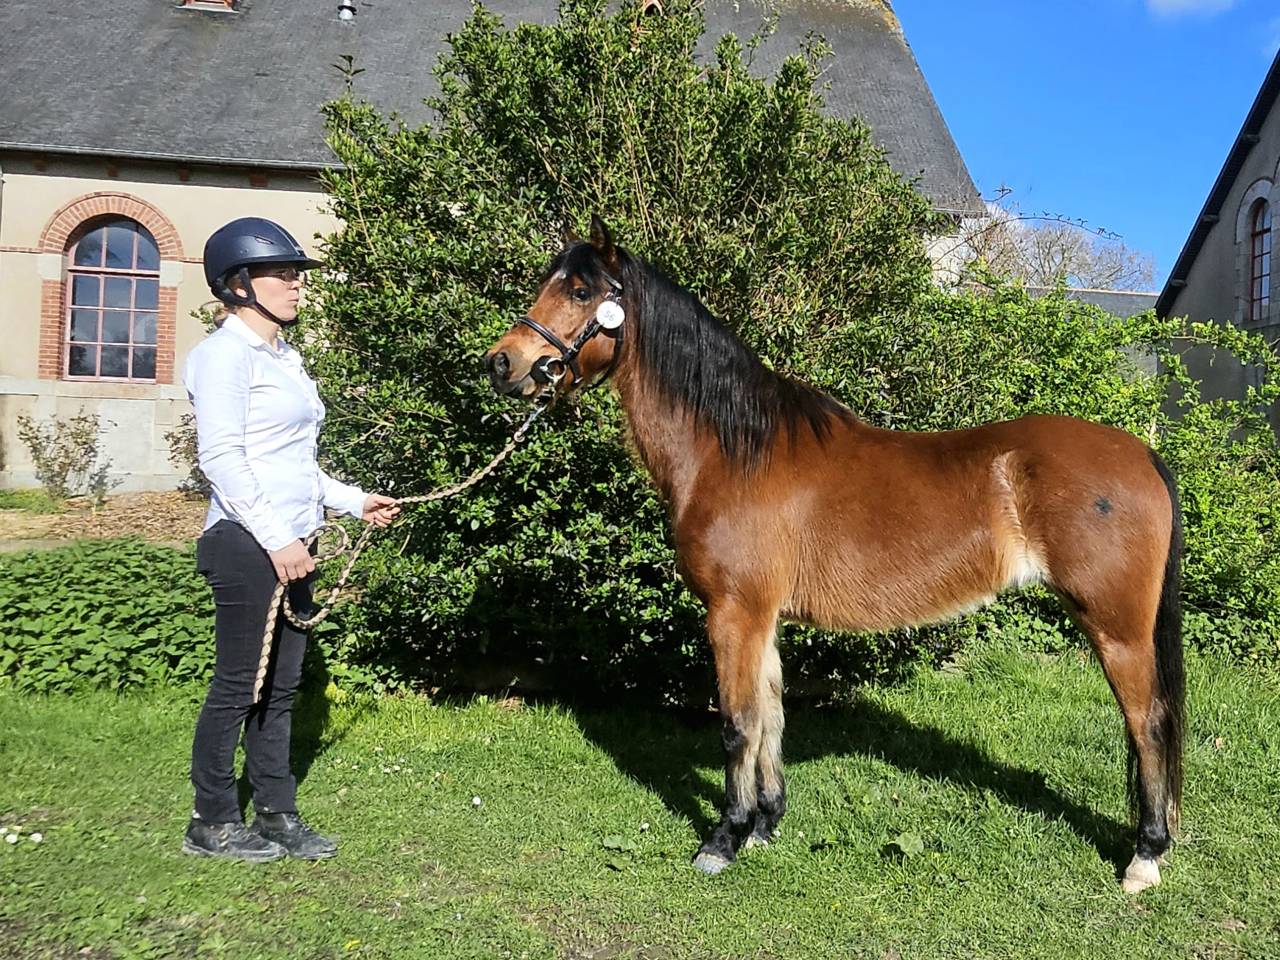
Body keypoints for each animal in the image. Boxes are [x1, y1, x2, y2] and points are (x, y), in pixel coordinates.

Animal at [484, 216, 1184, 893]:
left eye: (581, 291)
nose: (502, 363)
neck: (734, 452)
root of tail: (1140, 453)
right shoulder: (761, 619)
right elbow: (770, 717)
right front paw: (764, 825)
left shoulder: (733, 613)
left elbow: (737, 723)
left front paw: (723, 840)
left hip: (1117, 629)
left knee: (1148, 722)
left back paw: (1145, 857)